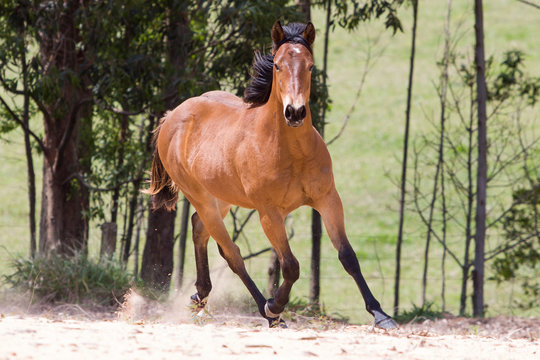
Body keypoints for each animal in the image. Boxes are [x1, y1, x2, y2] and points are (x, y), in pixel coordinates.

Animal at [147, 20, 396, 330]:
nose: (295, 112)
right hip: (202, 198)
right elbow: (290, 266)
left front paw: (381, 314)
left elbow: (348, 256)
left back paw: (199, 296)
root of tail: (171, 116)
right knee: (232, 254)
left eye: (310, 66)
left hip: (222, 198)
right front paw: (275, 304)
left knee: (198, 228)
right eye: (277, 65)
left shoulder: (328, 200)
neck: (291, 152)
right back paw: (267, 313)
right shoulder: (269, 213)